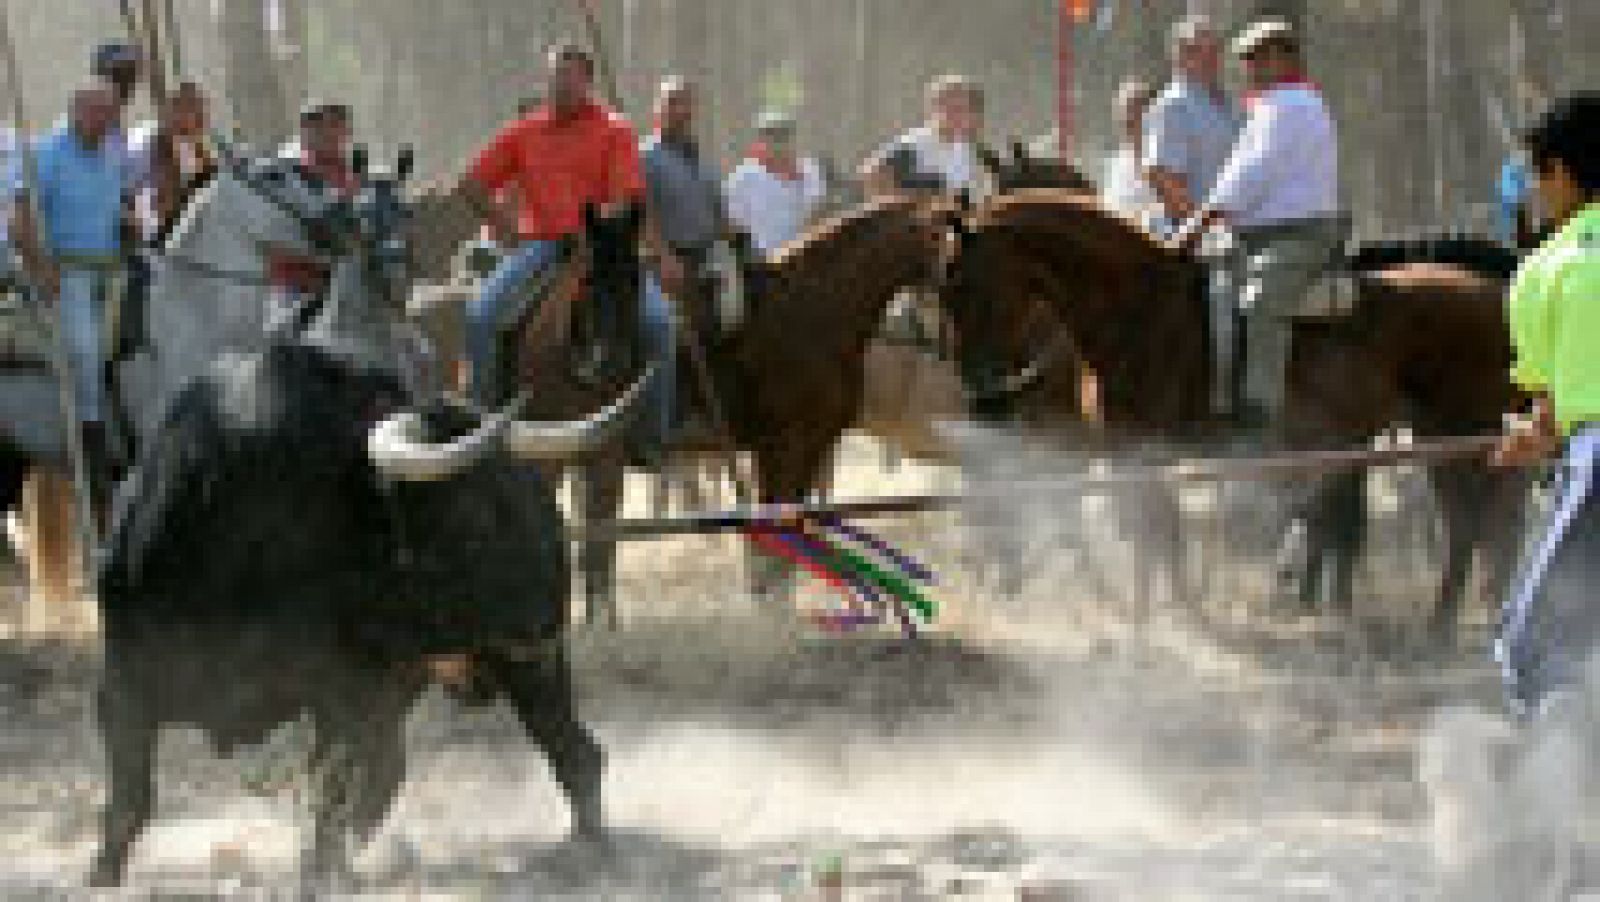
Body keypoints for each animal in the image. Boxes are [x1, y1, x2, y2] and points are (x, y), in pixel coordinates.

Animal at [89, 339, 601, 889]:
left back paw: (594, 852)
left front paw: (319, 876)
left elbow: (329, 794)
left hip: (521, 671)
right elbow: (127, 805)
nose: (551, 612)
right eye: (474, 517)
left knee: (574, 752)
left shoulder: (344, 693)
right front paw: (101, 877)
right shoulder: (121, 686)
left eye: (527, 493)